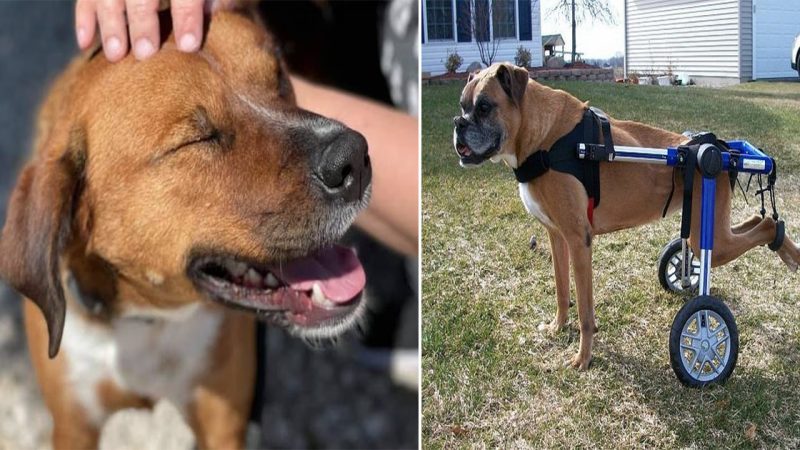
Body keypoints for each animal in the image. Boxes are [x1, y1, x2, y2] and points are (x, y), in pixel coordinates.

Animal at [0, 10, 370, 450]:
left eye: (279, 77)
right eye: (196, 140)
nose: (356, 157)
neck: (149, 321)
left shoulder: (225, 417)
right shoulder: (74, 423)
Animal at [454, 64, 796, 372]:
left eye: (484, 107)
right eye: (462, 105)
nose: (458, 123)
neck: (544, 139)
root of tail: (720, 151)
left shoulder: (579, 242)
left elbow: (585, 312)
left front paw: (583, 358)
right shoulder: (557, 237)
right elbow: (562, 291)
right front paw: (557, 327)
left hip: (709, 237)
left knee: (767, 225)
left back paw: (791, 253)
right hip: (708, 229)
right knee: (755, 222)